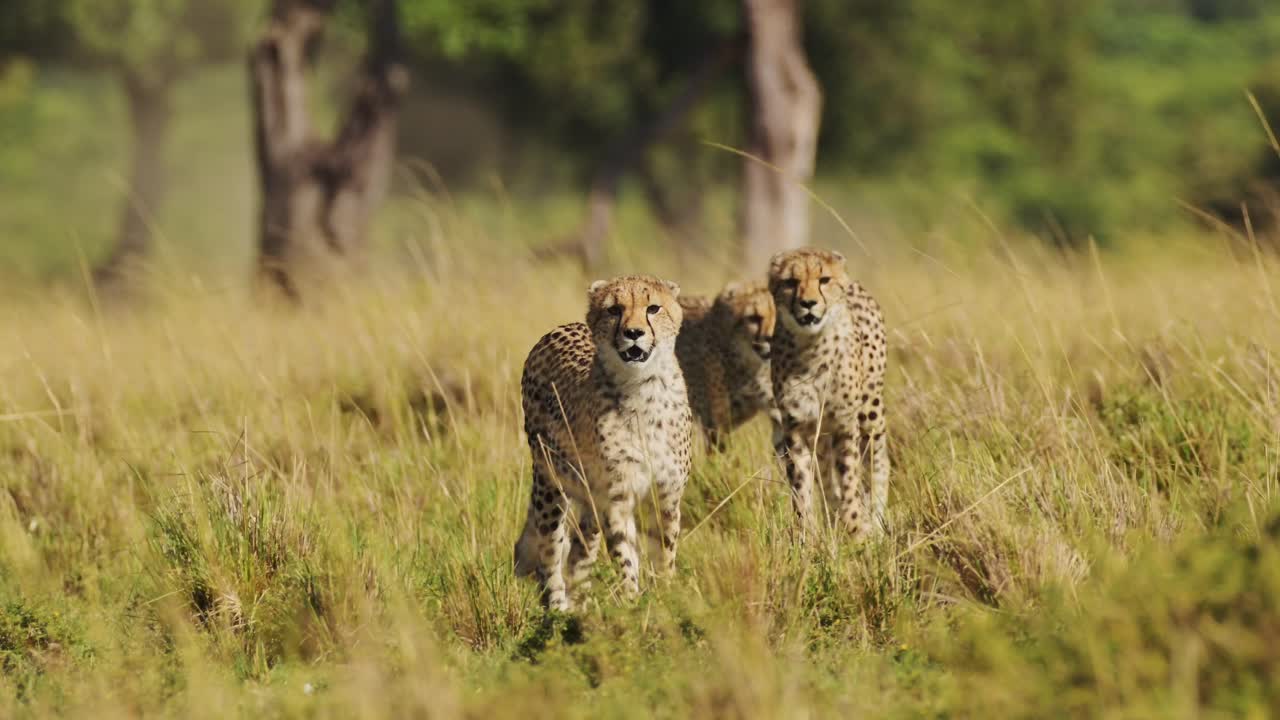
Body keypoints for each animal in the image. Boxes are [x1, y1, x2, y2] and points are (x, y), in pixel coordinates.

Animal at [514, 275, 694, 611]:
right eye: (614, 310)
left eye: (653, 308)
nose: (633, 333)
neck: (642, 389)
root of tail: (559, 328)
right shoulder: (617, 496)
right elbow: (625, 554)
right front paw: (632, 603)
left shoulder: (666, 493)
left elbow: (665, 549)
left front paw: (664, 595)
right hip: (550, 482)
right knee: (551, 550)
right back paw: (559, 608)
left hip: (588, 498)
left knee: (580, 551)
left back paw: (581, 602)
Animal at [767, 247, 889, 539]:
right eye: (790, 282)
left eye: (824, 280)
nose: (808, 303)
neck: (811, 348)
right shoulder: (796, 427)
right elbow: (801, 486)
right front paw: (807, 536)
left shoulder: (845, 424)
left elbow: (849, 478)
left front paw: (857, 528)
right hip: (821, 434)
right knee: (825, 474)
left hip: (869, 412)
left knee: (878, 460)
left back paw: (875, 518)